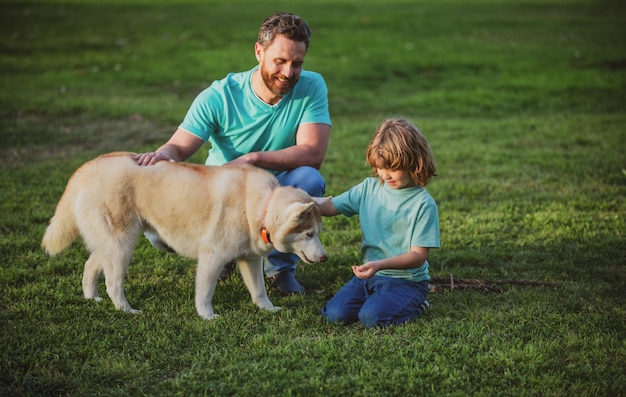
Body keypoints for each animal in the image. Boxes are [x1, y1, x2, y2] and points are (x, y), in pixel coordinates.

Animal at [42, 152, 326, 318]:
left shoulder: (250, 259)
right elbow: (205, 294)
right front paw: (207, 317)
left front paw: (268, 309)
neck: (260, 205)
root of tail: (90, 165)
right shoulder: (212, 257)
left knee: (90, 266)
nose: (324, 258)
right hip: (122, 245)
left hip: (110, 244)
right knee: (113, 283)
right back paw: (126, 309)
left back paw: (92, 298)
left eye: (318, 233)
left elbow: (259, 291)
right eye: (309, 234)